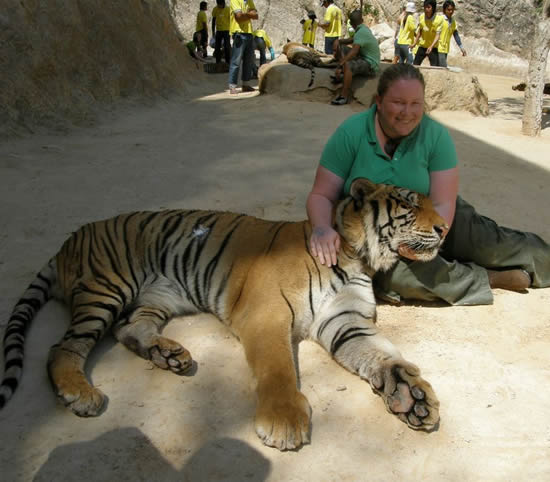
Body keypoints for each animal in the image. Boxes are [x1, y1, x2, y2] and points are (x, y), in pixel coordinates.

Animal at [1, 179, 448, 450]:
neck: (358, 257)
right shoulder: (267, 313)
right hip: (107, 287)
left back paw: (169, 355)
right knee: (63, 347)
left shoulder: (346, 323)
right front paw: (284, 421)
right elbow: (278, 368)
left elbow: (385, 357)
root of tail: (70, 240)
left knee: (129, 328)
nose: (444, 228)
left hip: (159, 295)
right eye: (410, 203)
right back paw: (80, 393)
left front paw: (412, 396)